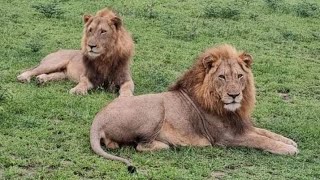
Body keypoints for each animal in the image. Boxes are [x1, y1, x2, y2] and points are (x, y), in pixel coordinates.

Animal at [89, 44, 298, 172]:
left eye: (239, 76)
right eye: (222, 77)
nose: (234, 95)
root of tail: (98, 118)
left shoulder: (241, 125)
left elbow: (266, 133)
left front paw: (289, 141)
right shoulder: (226, 137)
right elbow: (261, 140)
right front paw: (288, 149)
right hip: (156, 108)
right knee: (141, 146)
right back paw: (168, 145)